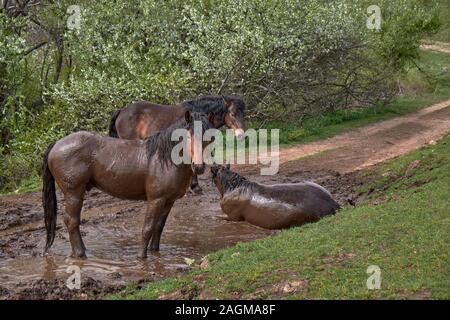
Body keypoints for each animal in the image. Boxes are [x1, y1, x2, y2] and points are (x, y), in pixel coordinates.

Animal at [41, 111, 213, 258]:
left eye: (209, 138)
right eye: (189, 136)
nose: (198, 167)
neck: (164, 159)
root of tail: (56, 144)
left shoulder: (169, 201)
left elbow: (159, 227)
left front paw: (155, 252)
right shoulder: (156, 200)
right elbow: (147, 228)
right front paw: (141, 257)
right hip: (74, 192)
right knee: (71, 221)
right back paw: (80, 254)